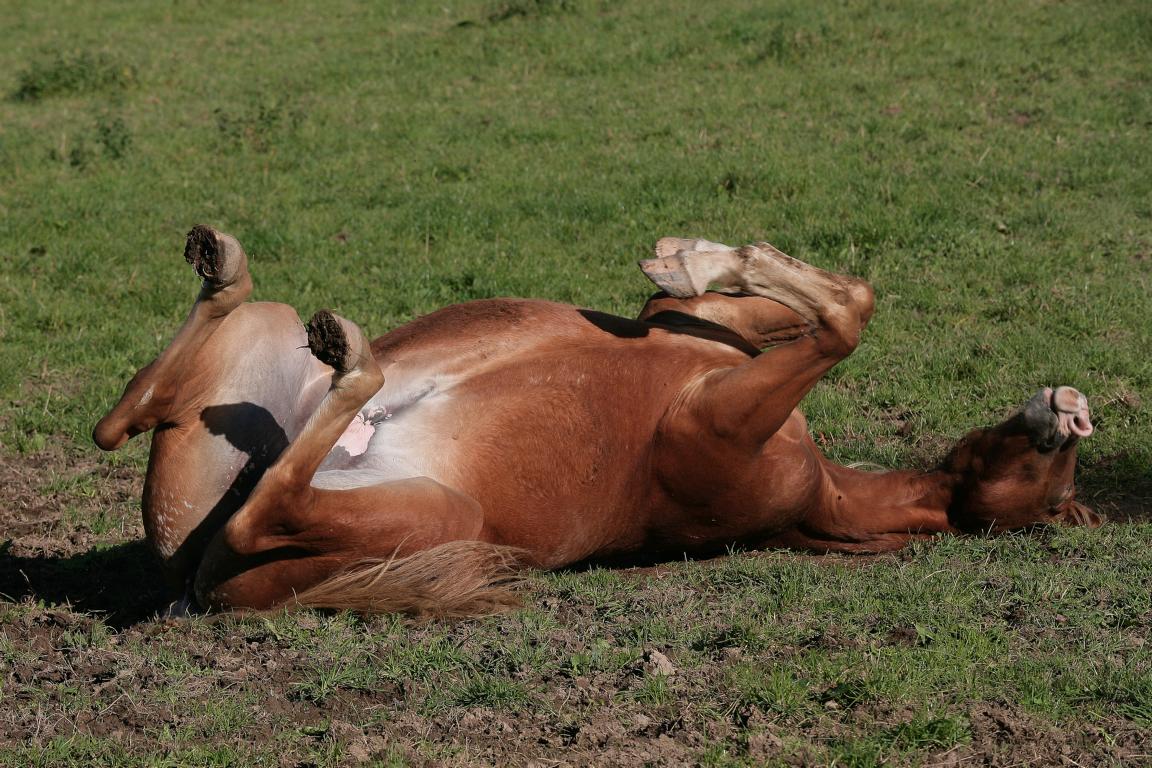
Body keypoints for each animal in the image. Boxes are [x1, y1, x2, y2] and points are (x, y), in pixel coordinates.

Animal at [92, 227, 1096, 617]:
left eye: (1060, 497)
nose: (1073, 412)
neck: (822, 493)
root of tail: (203, 585)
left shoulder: (715, 422)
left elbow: (847, 315)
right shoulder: (695, 344)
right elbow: (835, 302)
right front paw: (694, 255)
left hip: (438, 519)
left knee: (254, 506)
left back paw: (351, 355)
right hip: (252, 375)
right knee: (127, 415)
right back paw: (229, 270)